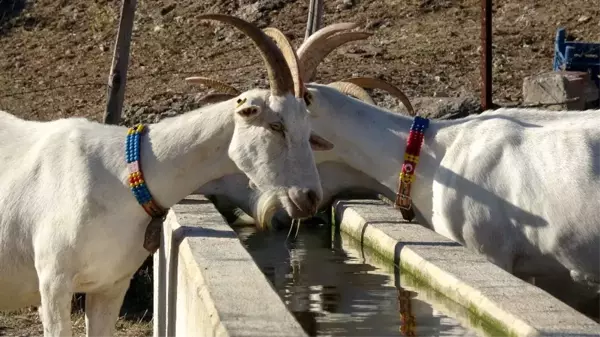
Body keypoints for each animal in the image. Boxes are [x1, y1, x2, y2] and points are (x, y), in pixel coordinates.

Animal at [0, 13, 332, 336]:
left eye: (307, 131)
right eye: (276, 126)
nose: (310, 197)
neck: (123, 174)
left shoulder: (111, 286)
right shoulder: (54, 284)